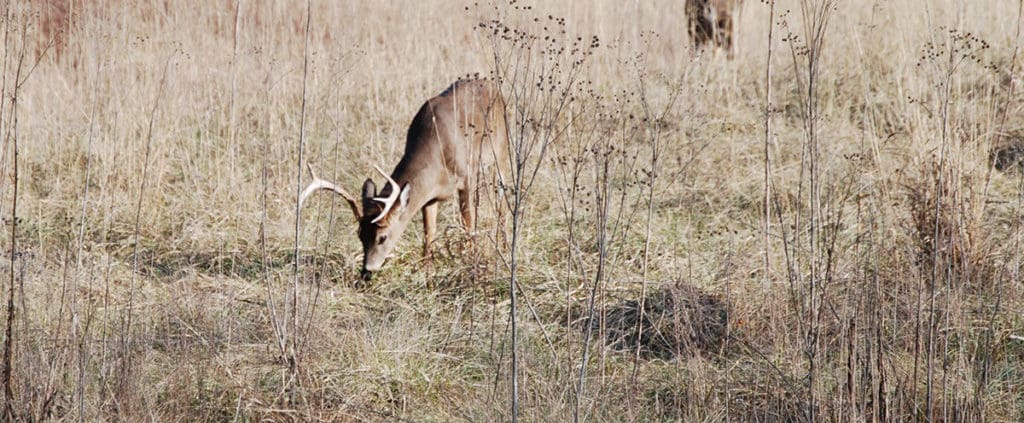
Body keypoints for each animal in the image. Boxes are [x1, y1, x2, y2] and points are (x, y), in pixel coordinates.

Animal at [299, 78, 509, 280]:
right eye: (360, 234)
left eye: (382, 237)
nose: (366, 272)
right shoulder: (429, 197)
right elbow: (429, 234)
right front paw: (427, 274)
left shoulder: (465, 180)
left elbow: (469, 225)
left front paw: (471, 262)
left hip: (501, 152)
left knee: (502, 203)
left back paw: (505, 246)